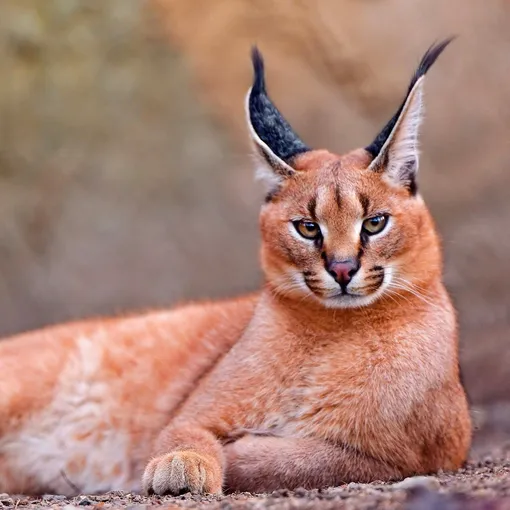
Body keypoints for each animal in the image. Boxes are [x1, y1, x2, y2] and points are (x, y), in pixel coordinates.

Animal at [0, 38, 470, 494]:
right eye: (307, 228)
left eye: (374, 223)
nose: (341, 269)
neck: (334, 331)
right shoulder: (192, 413)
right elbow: (184, 433)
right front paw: (180, 463)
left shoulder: (404, 456)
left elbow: (303, 460)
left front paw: (242, 452)